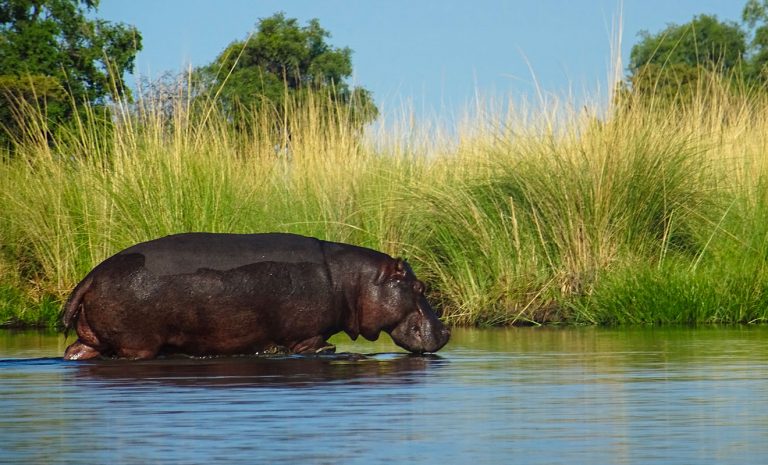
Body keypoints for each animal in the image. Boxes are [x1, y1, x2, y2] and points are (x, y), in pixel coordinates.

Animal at [62, 232, 450, 360]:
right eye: (419, 287)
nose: (446, 331)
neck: (352, 281)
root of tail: (90, 276)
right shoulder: (308, 339)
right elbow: (323, 348)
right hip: (137, 345)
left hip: (92, 339)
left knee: (75, 352)